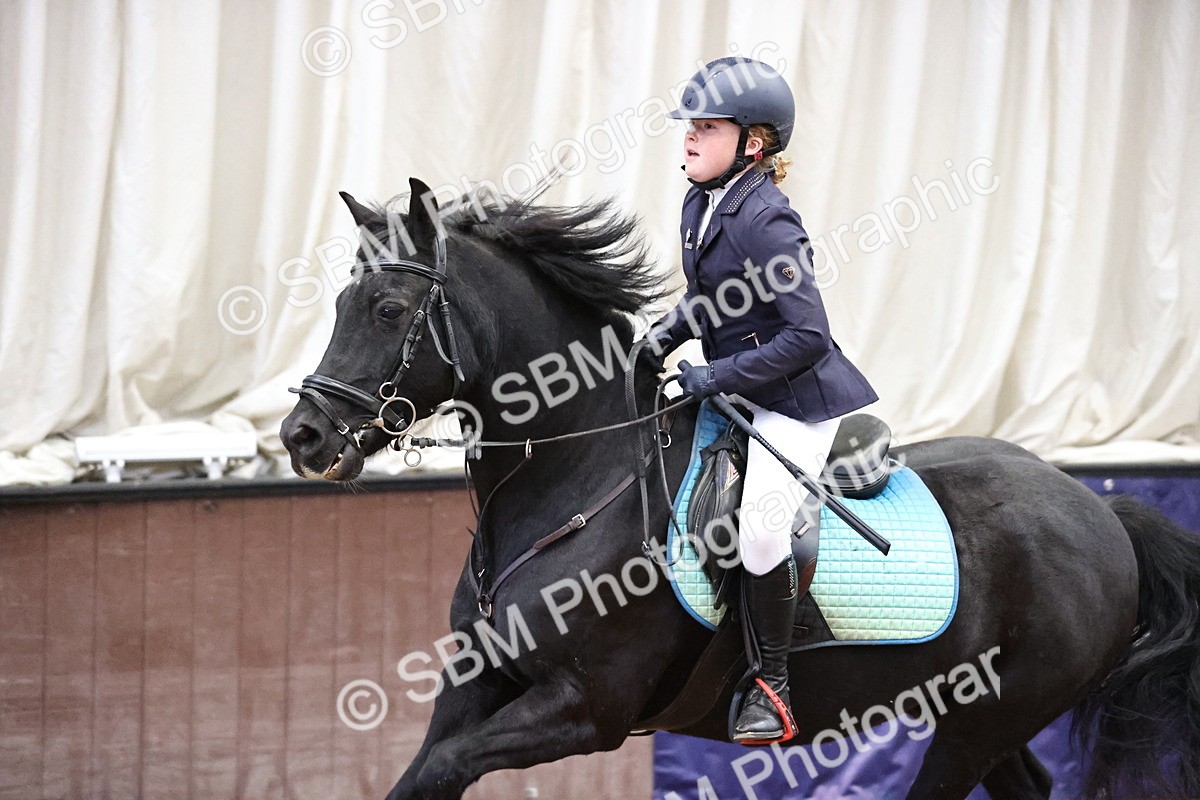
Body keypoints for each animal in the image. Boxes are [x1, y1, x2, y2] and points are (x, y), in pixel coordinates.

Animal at [280, 179, 1200, 800]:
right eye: (342, 301)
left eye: (390, 310)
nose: (304, 436)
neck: (577, 479)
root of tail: (1102, 508)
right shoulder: (477, 685)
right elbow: (419, 774)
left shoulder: (585, 708)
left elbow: (443, 769)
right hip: (975, 708)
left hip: (989, 717)